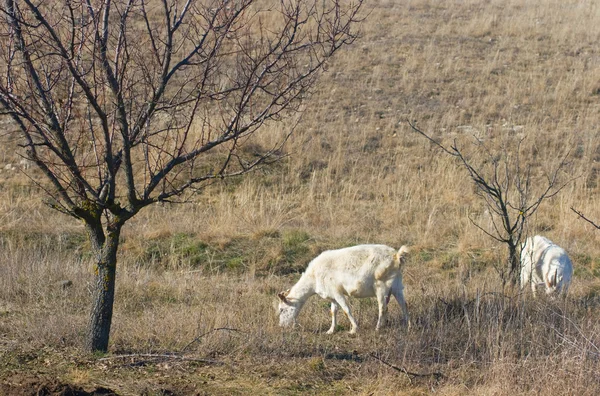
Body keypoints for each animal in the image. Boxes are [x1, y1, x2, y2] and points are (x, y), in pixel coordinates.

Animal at [276, 244, 408, 334]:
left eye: (282, 309)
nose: (281, 326)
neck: (313, 279)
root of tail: (396, 256)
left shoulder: (337, 292)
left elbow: (346, 310)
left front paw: (354, 329)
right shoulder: (332, 296)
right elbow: (333, 311)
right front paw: (331, 330)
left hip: (381, 287)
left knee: (382, 308)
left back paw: (378, 328)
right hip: (397, 286)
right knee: (404, 305)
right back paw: (409, 326)